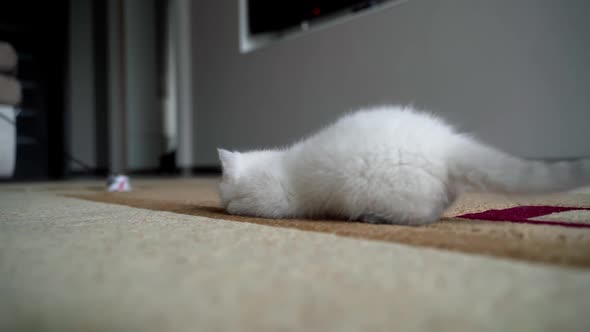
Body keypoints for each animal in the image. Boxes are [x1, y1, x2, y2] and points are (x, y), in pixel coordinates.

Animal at [219, 106, 590, 226]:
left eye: (221, 185)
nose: (220, 196)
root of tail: (448, 143)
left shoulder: (275, 202)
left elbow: (251, 206)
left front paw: (233, 206)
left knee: (420, 216)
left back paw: (371, 217)